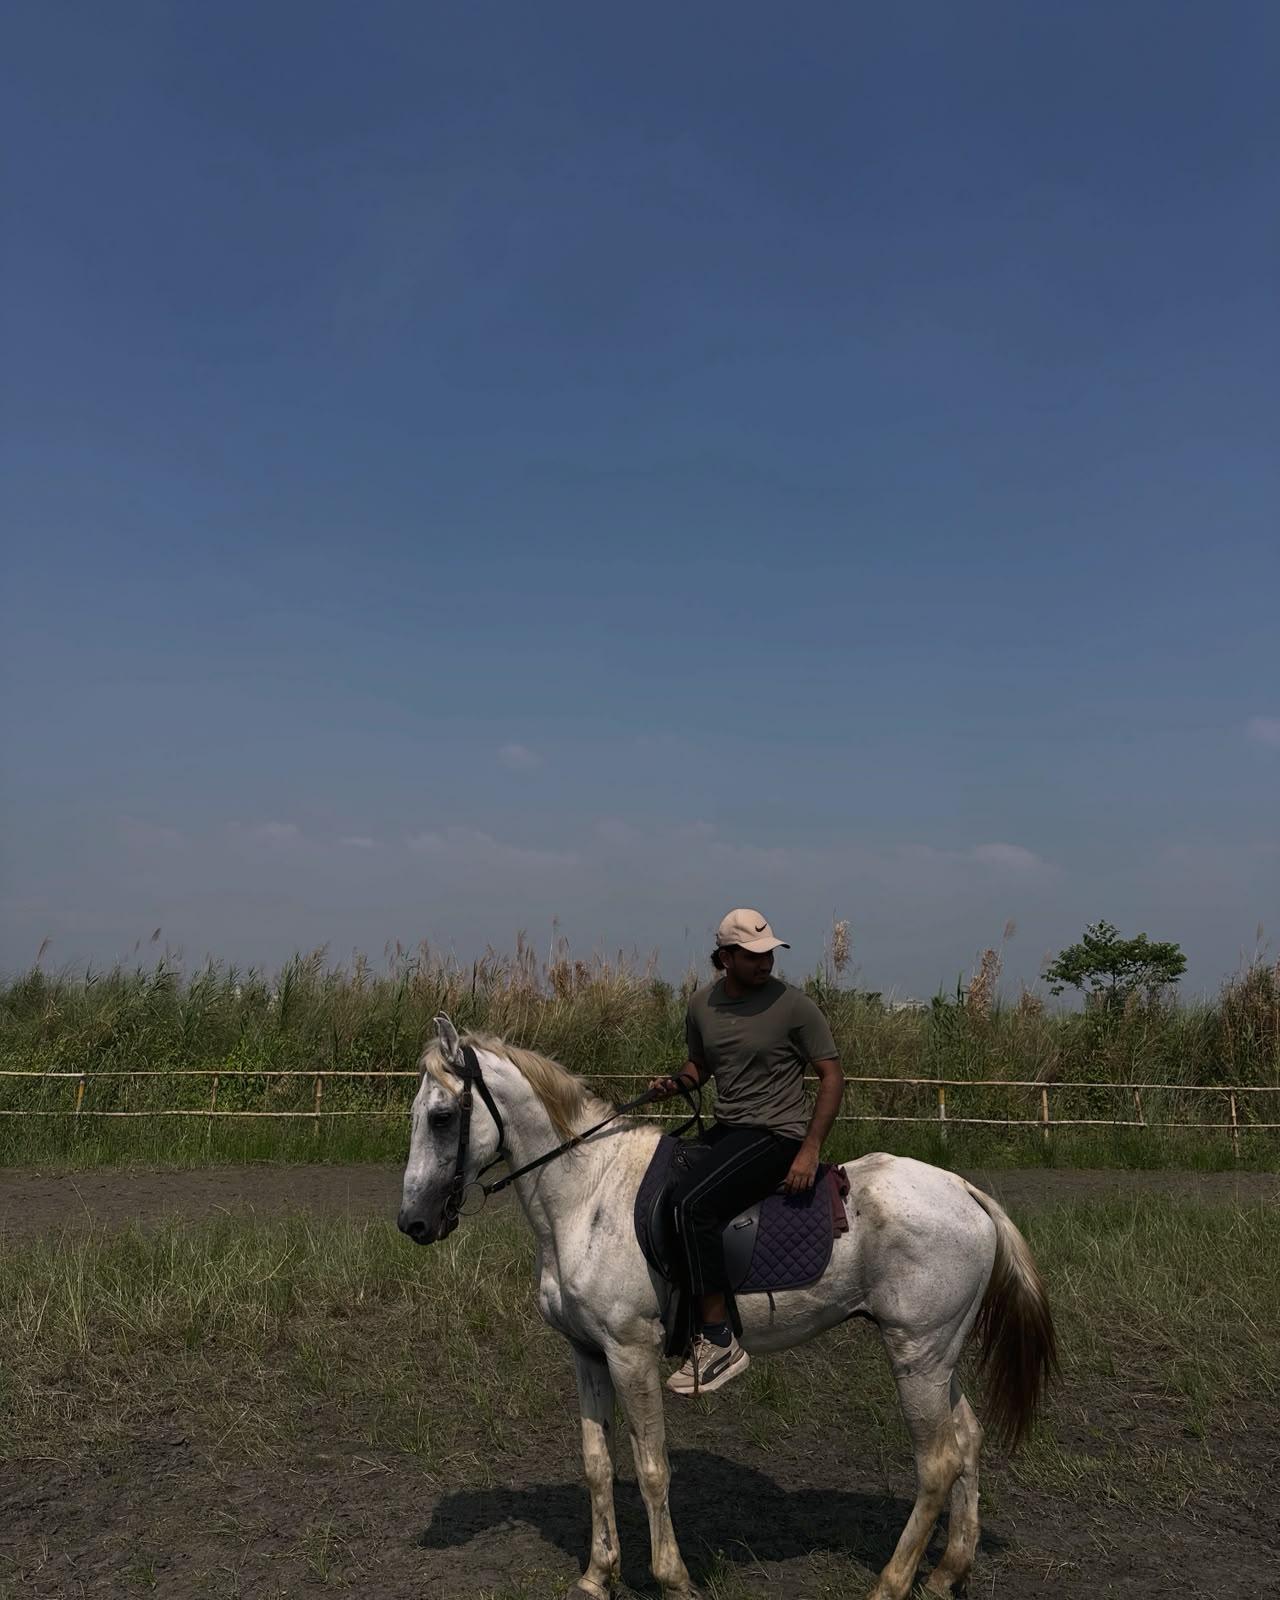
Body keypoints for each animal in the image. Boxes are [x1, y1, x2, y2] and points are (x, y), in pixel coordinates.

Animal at [398, 1018, 1057, 1600]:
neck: (588, 1194)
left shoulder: (630, 1353)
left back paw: (890, 1585)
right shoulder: (586, 1352)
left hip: (916, 1354)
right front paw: (596, 1575)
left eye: (441, 1116)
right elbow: (597, 1464)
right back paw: (947, 1574)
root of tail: (963, 1190)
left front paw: (673, 1579)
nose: (414, 1223)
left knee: (938, 1462)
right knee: (966, 1442)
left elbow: (652, 1468)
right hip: (937, 1355)